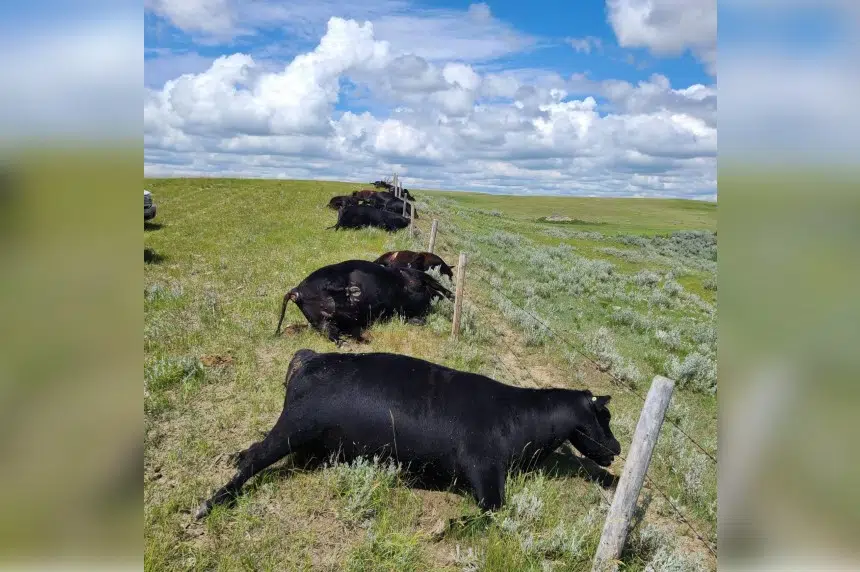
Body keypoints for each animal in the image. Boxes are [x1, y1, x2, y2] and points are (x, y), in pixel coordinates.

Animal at [194, 348, 620, 520]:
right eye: (606, 416)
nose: (616, 448)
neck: (518, 419)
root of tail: (312, 357)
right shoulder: (484, 469)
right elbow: (493, 510)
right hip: (293, 428)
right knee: (256, 457)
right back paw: (211, 503)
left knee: (252, 449)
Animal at [276, 260, 454, 344]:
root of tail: (296, 291)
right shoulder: (416, 276)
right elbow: (438, 285)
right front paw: (452, 297)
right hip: (328, 281)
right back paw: (352, 292)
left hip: (321, 321)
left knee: (333, 333)